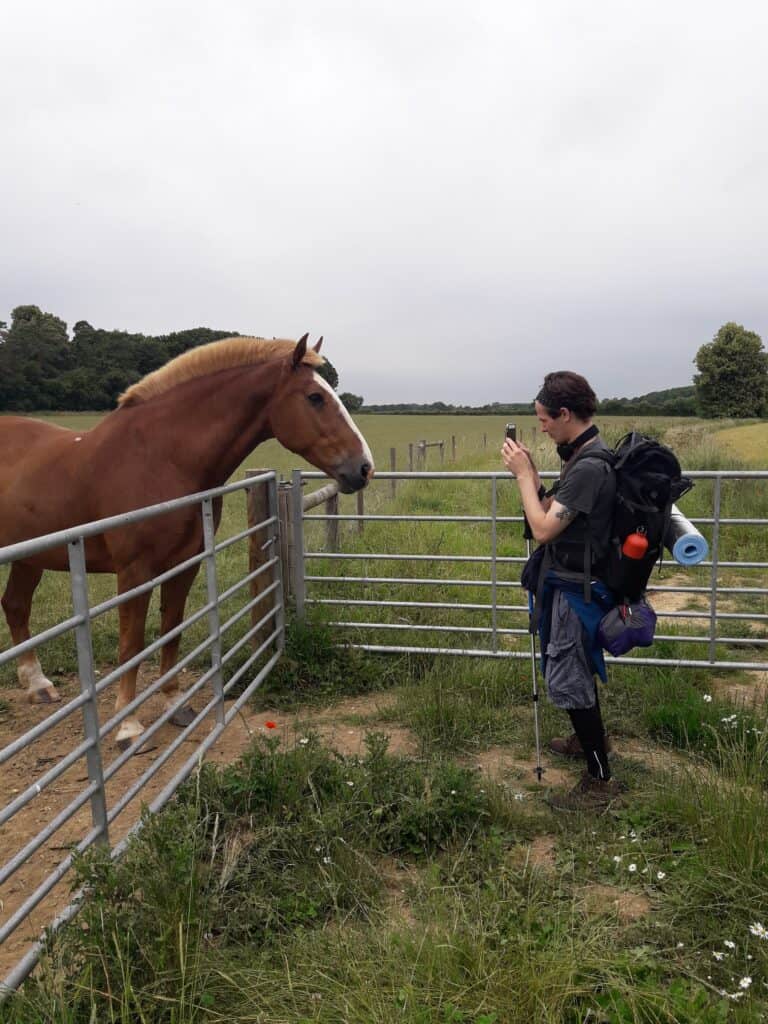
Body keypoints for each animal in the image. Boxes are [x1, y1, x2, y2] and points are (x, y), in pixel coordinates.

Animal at [0, 331, 372, 749]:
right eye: (314, 397)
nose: (364, 467)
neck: (161, 458)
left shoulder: (184, 565)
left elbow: (171, 631)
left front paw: (175, 704)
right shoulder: (135, 572)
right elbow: (132, 644)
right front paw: (128, 726)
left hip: (30, 558)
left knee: (15, 606)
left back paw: (38, 685)